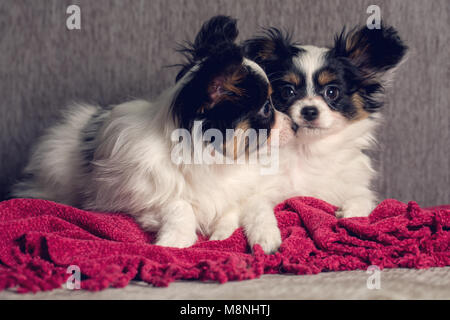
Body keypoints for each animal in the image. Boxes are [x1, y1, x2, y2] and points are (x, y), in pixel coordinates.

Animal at [11, 16, 296, 254]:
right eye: (267, 109)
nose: (293, 124)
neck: (215, 159)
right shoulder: (143, 197)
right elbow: (180, 206)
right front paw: (174, 241)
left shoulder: (241, 192)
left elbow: (234, 210)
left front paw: (222, 235)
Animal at [244, 23, 410, 216]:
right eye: (287, 91)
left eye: (332, 92)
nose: (309, 111)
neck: (309, 150)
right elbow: (260, 209)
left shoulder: (356, 189)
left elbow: (361, 201)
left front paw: (350, 214)